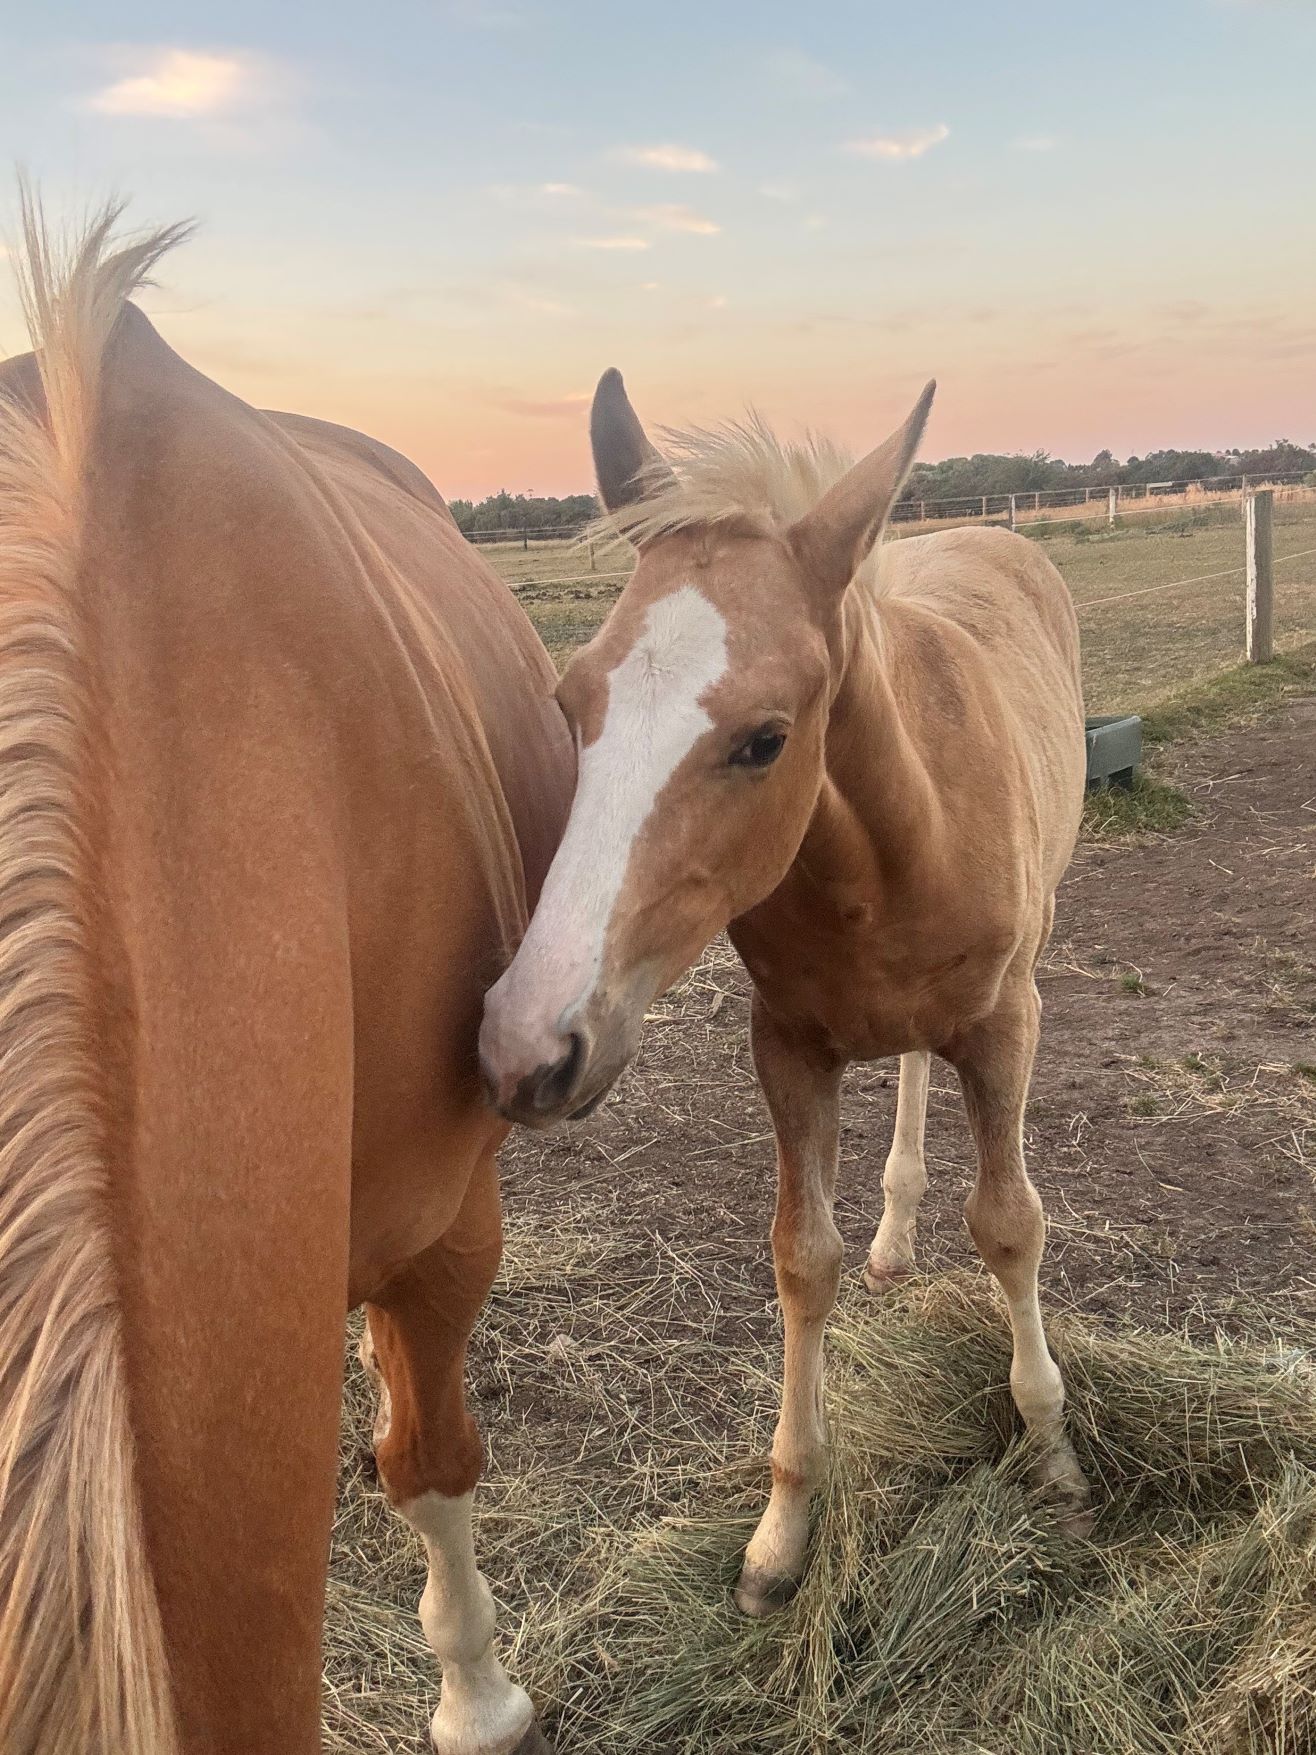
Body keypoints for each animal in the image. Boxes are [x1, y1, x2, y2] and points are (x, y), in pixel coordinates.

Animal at [481, 367, 1092, 1617]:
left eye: (765, 739)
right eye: (571, 705)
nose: (526, 1045)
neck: (894, 840)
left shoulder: (1004, 1024)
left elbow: (1009, 1225)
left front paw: (1050, 1450)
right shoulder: (788, 1045)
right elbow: (800, 1260)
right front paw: (780, 1536)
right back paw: (895, 1232)